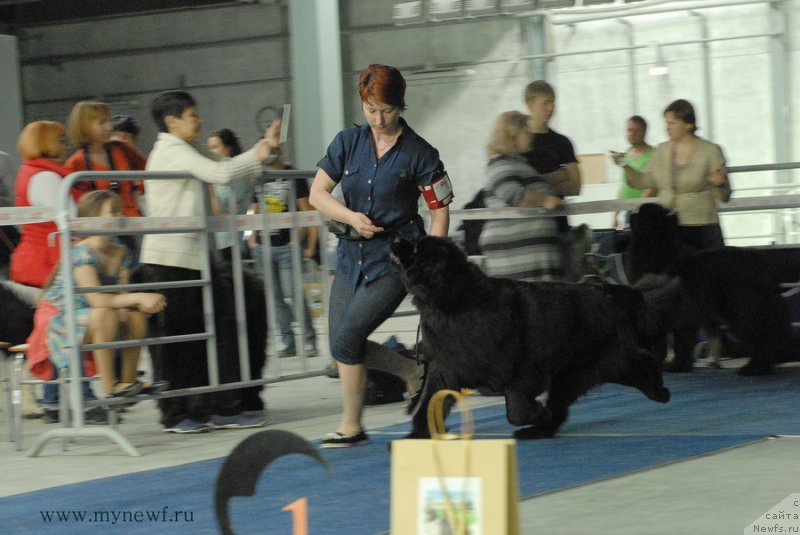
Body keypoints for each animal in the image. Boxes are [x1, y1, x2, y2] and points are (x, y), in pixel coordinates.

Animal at [388, 238, 668, 440]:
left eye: (415, 249)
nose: (395, 239)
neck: (455, 302)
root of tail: (607, 293)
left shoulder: (521, 372)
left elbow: (517, 410)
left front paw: (536, 414)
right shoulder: (445, 371)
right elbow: (427, 406)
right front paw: (416, 436)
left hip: (603, 361)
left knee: (642, 361)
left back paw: (659, 390)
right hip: (575, 374)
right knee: (562, 407)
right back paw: (539, 431)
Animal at [628, 203, 796, 374]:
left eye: (640, 213)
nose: (630, 213)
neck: (660, 249)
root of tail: (765, 267)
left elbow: (676, 340)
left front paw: (672, 365)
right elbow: (683, 341)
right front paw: (681, 365)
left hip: (742, 311)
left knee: (757, 339)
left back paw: (753, 369)